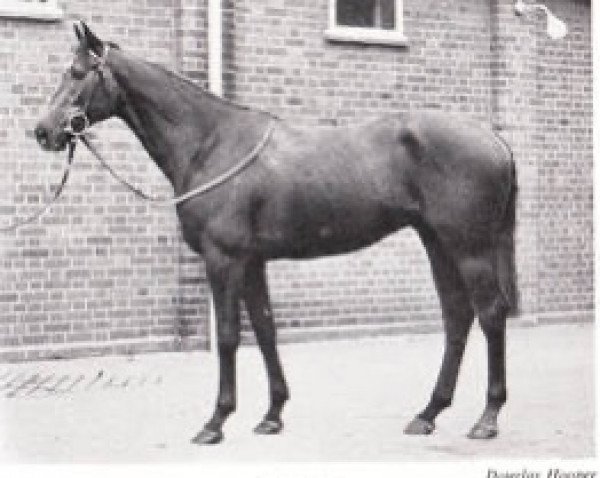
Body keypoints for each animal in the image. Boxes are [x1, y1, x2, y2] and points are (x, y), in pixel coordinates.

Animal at [35, 22, 516, 446]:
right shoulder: (252, 262)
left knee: (490, 314)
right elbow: (265, 330)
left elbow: (229, 335)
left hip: (469, 248)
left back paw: (487, 419)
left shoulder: (223, 259)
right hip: (436, 242)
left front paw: (215, 422)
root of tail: (495, 141)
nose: (43, 131)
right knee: (457, 317)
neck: (211, 143)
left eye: (75, 72)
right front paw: (271, 415)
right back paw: (428, 413)